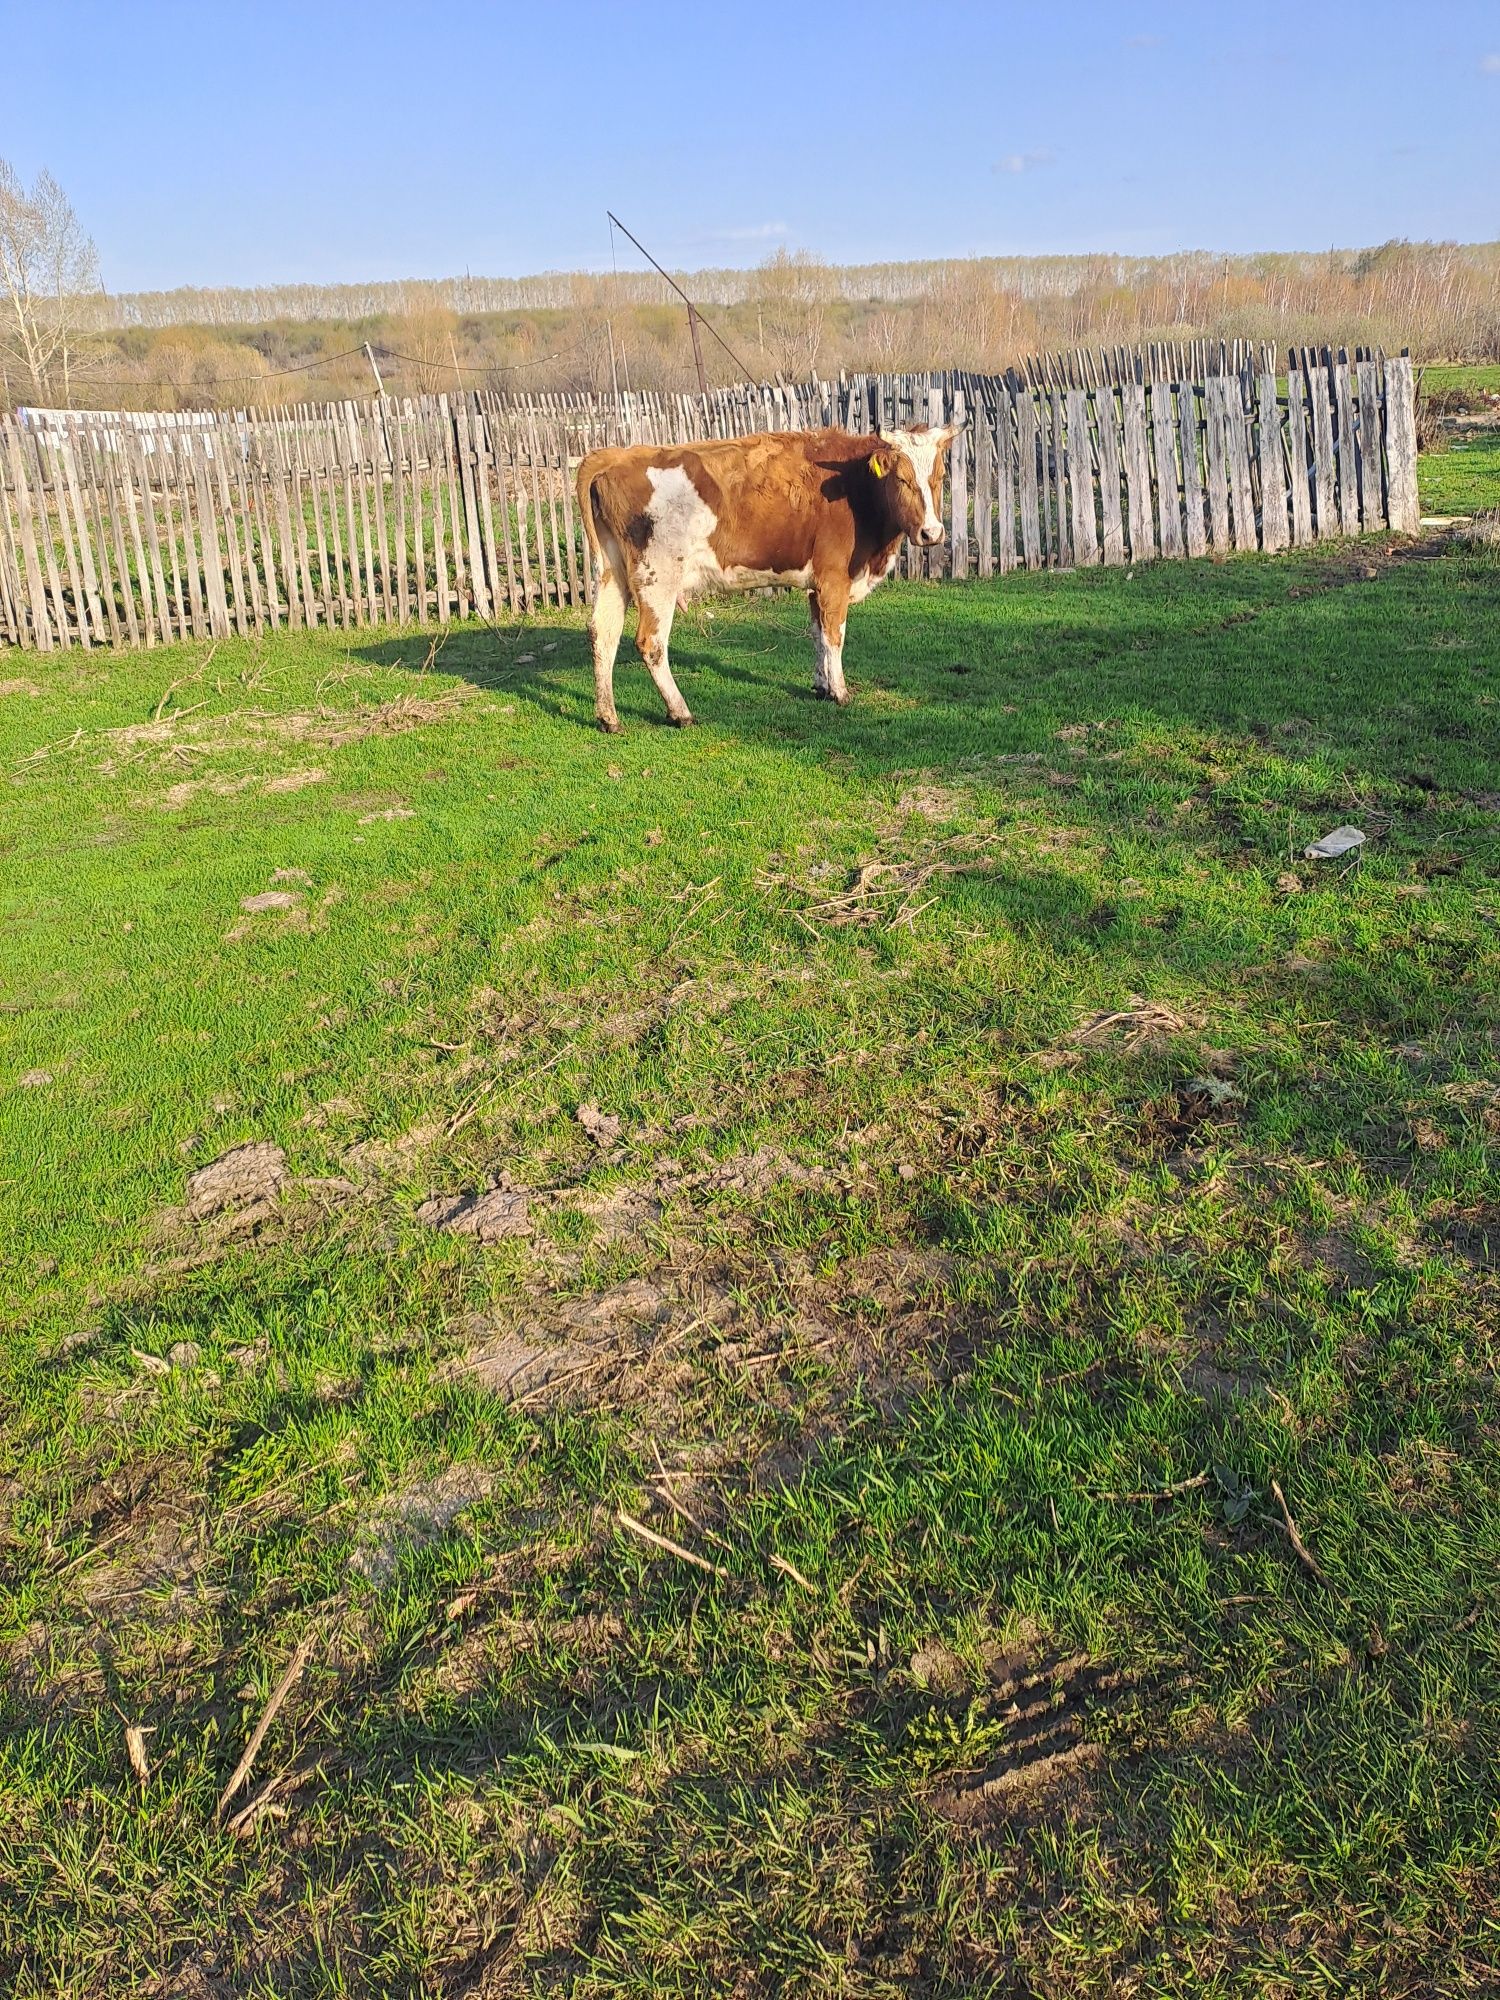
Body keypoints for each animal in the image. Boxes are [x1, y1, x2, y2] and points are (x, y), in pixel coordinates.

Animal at [576, 422, 964, 728]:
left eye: (939, 478)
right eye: (902, 479)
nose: (931, 533)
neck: (854, 488)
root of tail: (618, 454)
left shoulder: (815, 586)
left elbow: (817, 634)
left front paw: (821, 686)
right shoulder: (834, 580)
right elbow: (835, 636)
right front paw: (840, 692)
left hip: (613, 572)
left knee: (603, 633)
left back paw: (608, 717)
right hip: (658, 576)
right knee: (651, 642)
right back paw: (680, 711)